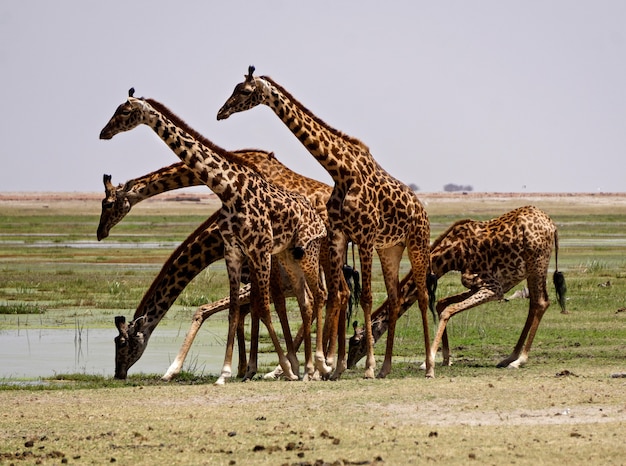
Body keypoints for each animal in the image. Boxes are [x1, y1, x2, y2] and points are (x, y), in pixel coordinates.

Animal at [98, 89, 326, 384]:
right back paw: (314, 366)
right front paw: (231, 371)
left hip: (313, 253)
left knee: (324, 296)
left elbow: (263, 308)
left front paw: (282, 368)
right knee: (312, 300)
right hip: (294, 256)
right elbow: (237, 312)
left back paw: (319, 365)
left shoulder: (259, 254)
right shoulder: (236, 254)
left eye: (124, 112)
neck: (228, 187)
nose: (104, 132)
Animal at [217, 65, 432, 378]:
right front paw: (336, 366)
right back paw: (386, 367)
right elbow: (336, 294)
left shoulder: (364, 236)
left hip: (417, 241)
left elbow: (365, 297)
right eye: (233, 89)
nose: (221, 113)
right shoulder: (341, 234)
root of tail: (422, 209)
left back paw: (428, 365)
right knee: (394, 300)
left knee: (423, 296)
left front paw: (365, 367)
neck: (341, 171)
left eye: (244, 91)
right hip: (390, 248)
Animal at [346, 206, 564, 374]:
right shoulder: (482, 286)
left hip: (537, 263)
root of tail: (552, 227)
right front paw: (445, 359)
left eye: (355, 341)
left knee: (541, 302)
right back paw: (509, 357)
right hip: (532, 269)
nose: (348, 364)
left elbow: (447, 311)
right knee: (534, 304)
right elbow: (442, 304)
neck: (451, 256)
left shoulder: (493, 288)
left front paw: (427, 361)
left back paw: (520, 360)